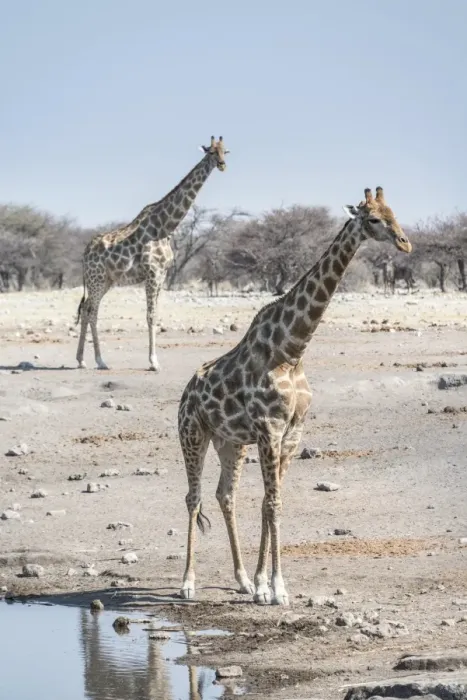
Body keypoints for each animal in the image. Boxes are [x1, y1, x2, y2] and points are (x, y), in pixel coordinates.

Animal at [75, 136, 229, 371]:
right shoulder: (152, 274)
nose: (222, 165)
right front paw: (154, 362)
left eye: (225, 151)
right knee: (91, 311)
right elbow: (150, 316)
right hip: (96, 279)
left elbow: (156, 316)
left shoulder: (163, 275)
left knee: (87, 310)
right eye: (211, 152)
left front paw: (155, 360)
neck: (165, 227)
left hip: (106, 281)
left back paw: (84, 360)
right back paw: (98, 360)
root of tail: (85, 253)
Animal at [177, 186, 412, 605]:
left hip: (230, 442)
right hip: (193, 434)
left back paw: (241, 580)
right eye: (373, 219)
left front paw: (262, 585)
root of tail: (187, 392)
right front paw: (278, 588)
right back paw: (187, 583)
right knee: (194, 497)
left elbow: (270, 503)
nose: (405, 242)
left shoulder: (292, 432)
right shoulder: (269, 428)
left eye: (394, 214)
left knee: (225, 496)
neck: (292, 349)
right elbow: (272, 503)